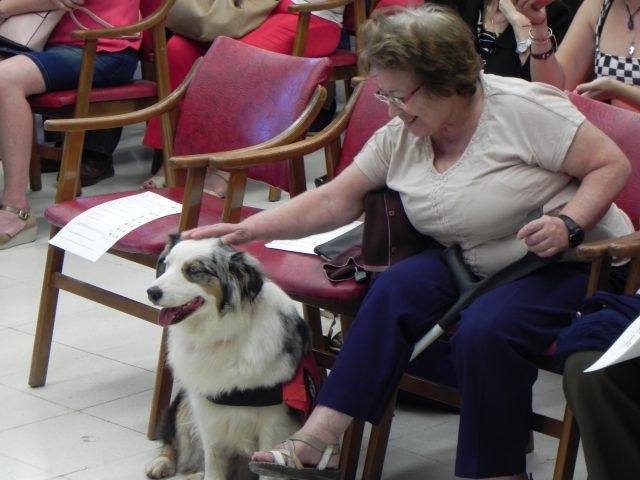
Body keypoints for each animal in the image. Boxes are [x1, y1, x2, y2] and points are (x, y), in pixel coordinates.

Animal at [144, 236, 316, 480]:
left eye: (193, 270)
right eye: (166, 265)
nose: (151, 292)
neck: (223, 332)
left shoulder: (274, 422)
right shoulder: (207, 414)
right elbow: (213, 463)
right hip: (185, 401)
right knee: (174, 438)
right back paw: (163, 463)